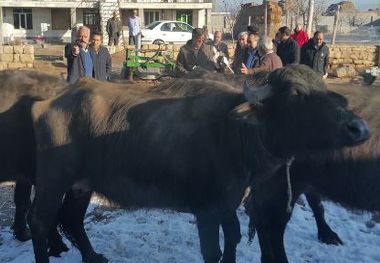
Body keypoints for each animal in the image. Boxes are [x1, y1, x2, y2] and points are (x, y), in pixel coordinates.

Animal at [30, 64, 372, 263]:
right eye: (297, 93)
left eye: (325, 90)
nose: (360, 129)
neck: (235, 135)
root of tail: (49, 102)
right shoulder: (206, 211)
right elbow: (214, 250)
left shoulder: (228, 205)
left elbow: (233, 239)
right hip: (51, 181)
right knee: (40, 223)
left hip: (82, 185)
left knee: (72, 219)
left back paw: (93, 256)